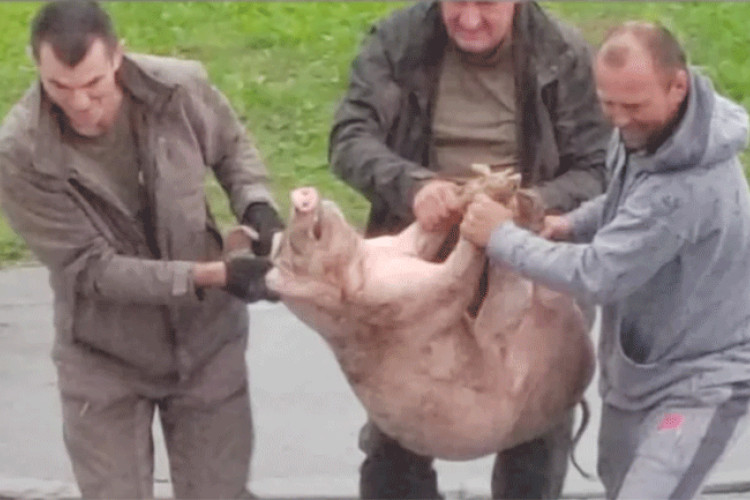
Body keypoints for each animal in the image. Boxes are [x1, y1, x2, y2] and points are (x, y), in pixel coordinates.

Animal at [253, 170, 600, 458]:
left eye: (285, 244)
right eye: (292, 249)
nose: (300, 198)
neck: (361, 267)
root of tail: (581, 377)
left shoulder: (396, 250)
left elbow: (423, 233)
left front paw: (459, 193)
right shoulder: (412, 302)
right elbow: (456, 276)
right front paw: (484, 198)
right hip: (512, 338)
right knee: (516, 291)